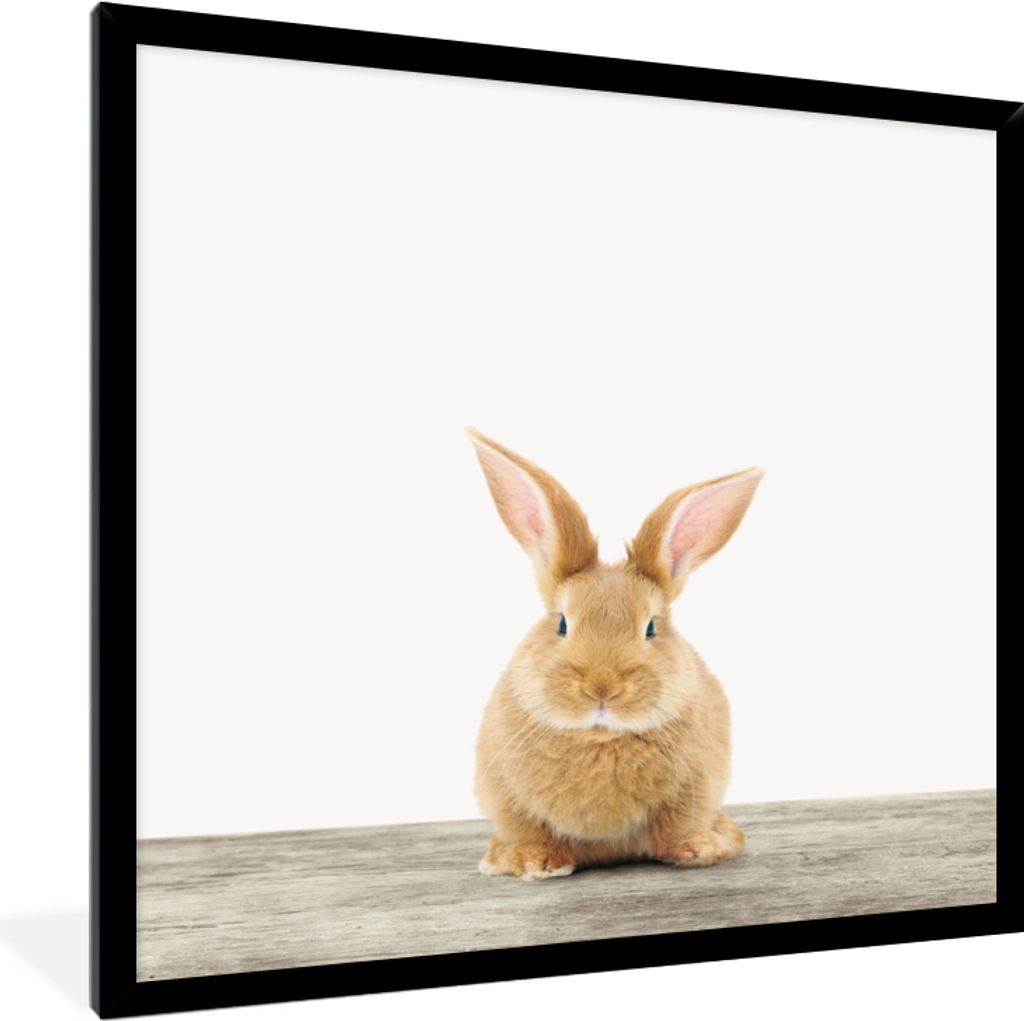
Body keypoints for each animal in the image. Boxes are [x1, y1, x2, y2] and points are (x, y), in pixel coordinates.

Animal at [467, 428, 763, 880]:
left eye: (651, 627)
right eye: (562, 623)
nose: (602, 687)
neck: (600, 736)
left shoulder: (696, 785)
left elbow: (678, 825)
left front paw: (699, 850)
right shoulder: (504, 791)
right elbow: (528, 828)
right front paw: (533, 864)